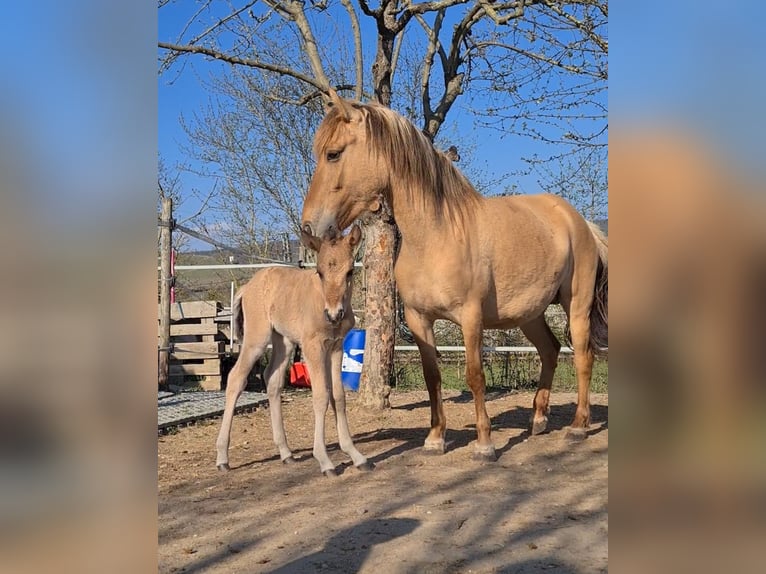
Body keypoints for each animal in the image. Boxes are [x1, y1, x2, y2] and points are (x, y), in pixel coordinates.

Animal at [214, 225, 374, 476]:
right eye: (319, 272)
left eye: (349, 272)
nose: (334, 314)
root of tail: (248, 286)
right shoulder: (312, 346)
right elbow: (321, 396)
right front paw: (325, 461)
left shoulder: (336, 346)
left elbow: (338, 396)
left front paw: (356, 456)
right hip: (257, 339)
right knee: (236, 378)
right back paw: (222, 457)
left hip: (284, 341)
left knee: (273, 380)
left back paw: (286, 453)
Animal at [304, 93, 608, 464]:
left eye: (333, 153)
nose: (309, 225)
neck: (437, 235)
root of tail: (580, 222)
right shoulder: (419, 320)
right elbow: (432, 376)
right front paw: (436, 439)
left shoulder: (470, 317)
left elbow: (475, 376)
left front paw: (485, 444)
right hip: (530, 314)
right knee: (550, 351)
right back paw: (538, 420)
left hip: (576, 305)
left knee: (582, 356)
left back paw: (578, 426)